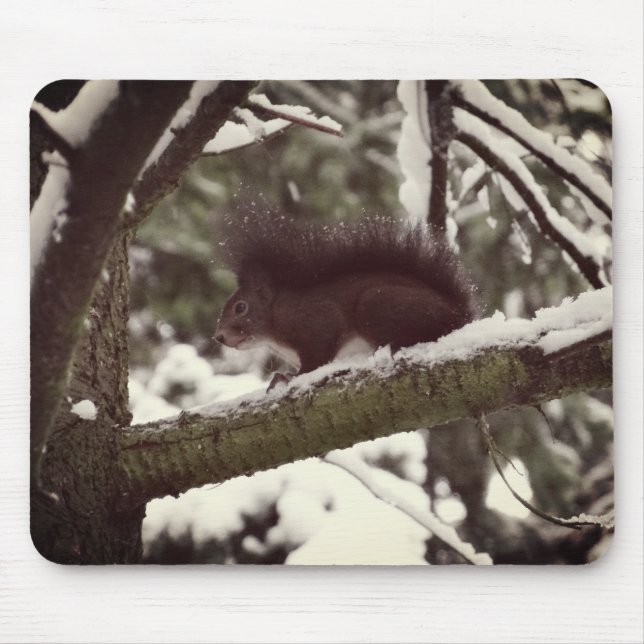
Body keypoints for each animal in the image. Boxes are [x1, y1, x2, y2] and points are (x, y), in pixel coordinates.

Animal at [215, 211, 477, 387]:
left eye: (240, 308)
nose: (219, 337)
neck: (274, 319)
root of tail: (458, 312)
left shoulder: (317, 323)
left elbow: (316, 360)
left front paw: (288, 377)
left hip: (374, 304)